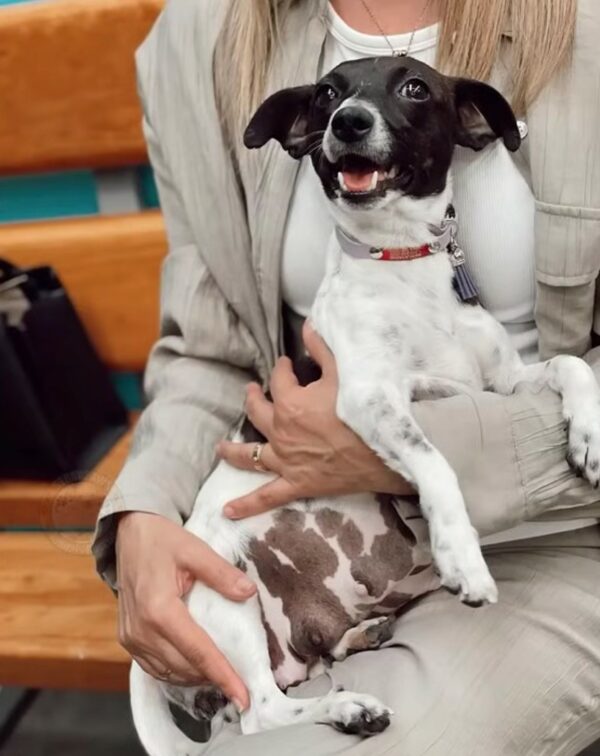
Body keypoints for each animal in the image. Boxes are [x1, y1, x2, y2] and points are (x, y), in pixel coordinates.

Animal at [130, 56, 600, 752]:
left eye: (415, 88)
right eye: (327, 93)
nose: (347, 121)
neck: (404, 263)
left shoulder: (502, 384)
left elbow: (570, 365)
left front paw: (588, 437)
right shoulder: (370, 398)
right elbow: (436, 462)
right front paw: (463, 557)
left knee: (300, 670)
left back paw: (359, 639)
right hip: (229, 598)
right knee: (258, 711)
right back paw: (350, 707)